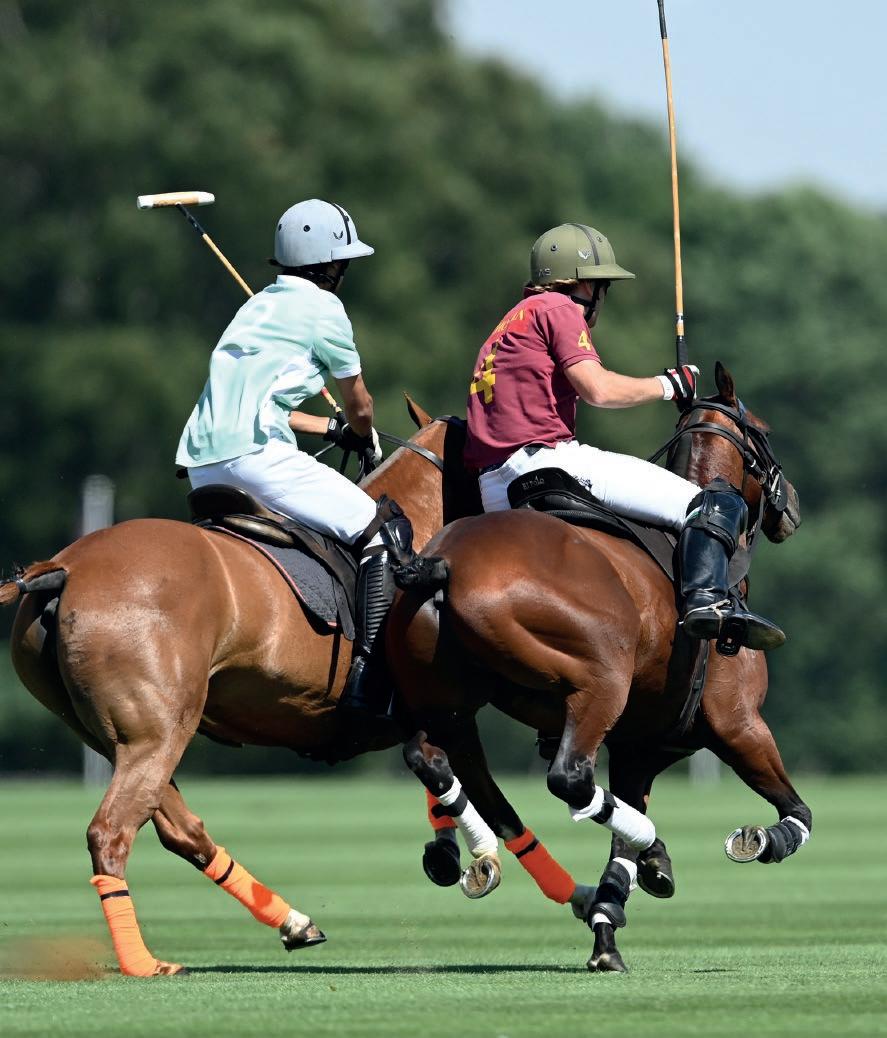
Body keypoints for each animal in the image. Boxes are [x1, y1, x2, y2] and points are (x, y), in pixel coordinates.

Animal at [1, 406, 593, 977]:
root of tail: (60, 569)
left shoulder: (421, 715)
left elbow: (437, 774)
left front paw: (454, 852)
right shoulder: (445, 710)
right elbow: (478, 790)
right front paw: (512, 870)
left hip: (122, 737)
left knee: (179, 829)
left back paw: (293, 921)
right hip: (156, 732)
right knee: (111, 832)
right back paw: (143, 962)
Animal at [387, 363, 808, 972]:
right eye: (765, 433)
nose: (791, 504)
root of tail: (441, 563)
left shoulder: (640, 748)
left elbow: (617, 854)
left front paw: (607, 934)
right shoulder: (739, 725)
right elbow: (798, 811)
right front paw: (762, 839)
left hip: (449, 703)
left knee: (442, 762)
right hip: (600, 681)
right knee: (568, 777)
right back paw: (651, 846)